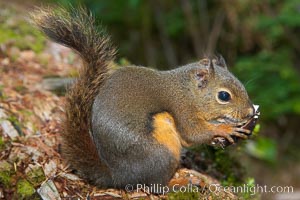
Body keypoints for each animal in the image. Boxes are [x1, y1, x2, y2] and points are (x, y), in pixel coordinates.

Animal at [32, 7, 258, 189]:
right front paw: (225, 129)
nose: (250, 112)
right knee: (154, 185)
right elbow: (194, 133)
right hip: (163, 152)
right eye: (224, 96)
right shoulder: (182, 109)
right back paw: (178, 182)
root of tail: (117, 176)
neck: (187, 92)